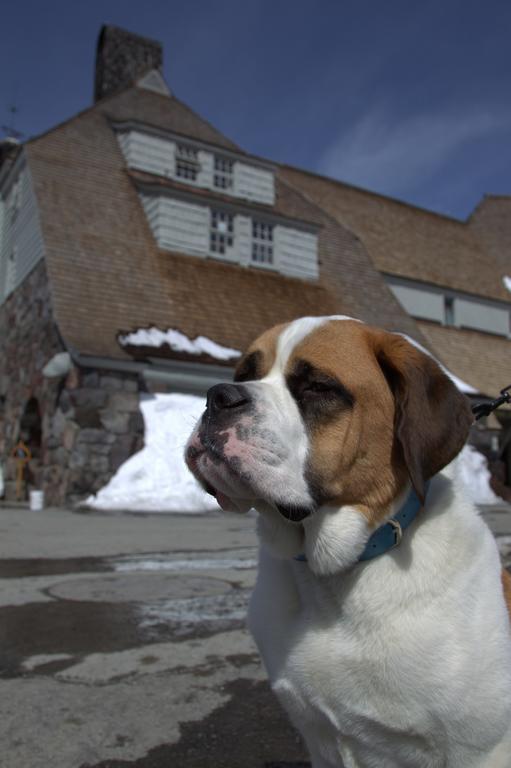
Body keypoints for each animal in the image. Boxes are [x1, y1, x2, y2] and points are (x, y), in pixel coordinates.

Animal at [185, 316, 511, 768]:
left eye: (317, 387)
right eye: (244, 375)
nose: (218, 396)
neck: (341, 575)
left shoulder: (480, 750)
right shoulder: (319, 738)